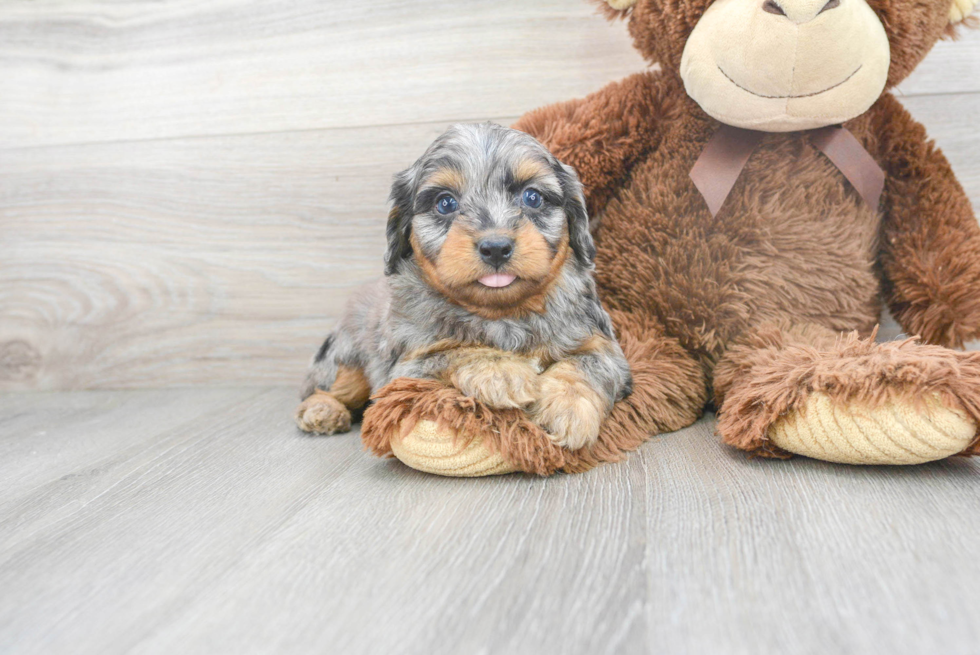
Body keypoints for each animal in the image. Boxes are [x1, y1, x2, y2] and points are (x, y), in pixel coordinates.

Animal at [294, 123, 632, 452]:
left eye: (532, 197)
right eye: (445, 203)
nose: (495, 247)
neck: (503, 313)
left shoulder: (603, 345)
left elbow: (588, 364)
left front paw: (565, 409)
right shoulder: (405, 370)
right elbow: (453, 351)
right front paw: (502, 371)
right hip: (344, 357)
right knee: (326, 387)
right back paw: (322, 411)